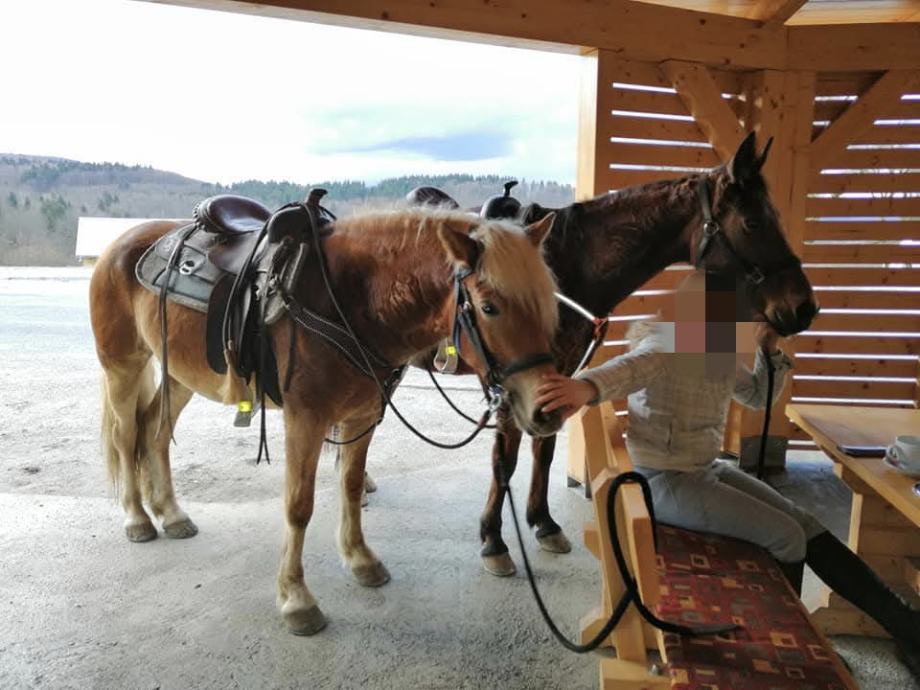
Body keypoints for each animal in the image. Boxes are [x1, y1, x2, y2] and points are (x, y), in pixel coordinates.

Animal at [89, 206, 563, 634]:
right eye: (489, 307)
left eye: (546, 303)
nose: (548, 409)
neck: (352, 302)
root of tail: (120, 244)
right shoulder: (306, 420)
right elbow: (299, 505)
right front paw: (296, 599)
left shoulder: (361, 417)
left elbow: (350, 487)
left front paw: (360, 559)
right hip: (123, 366)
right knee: (126, 435)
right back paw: (137, 518)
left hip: (178, 375)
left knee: (155, 434)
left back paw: (170, 514)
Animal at [388, 132, 820, 576]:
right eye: (752, 222)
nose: (803, 308)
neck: (563, 268)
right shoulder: (512, 381)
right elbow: (504, 462)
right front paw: (494, 540)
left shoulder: (554, 378)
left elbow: (545, 450)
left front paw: (543, 523)